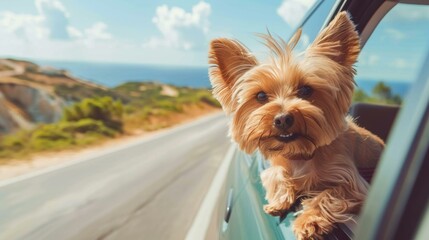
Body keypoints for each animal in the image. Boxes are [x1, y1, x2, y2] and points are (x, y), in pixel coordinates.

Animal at [207, 12, 384, 239]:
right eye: (261, 96)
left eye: (306, 90)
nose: (283, 119)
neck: (300, 153)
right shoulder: (278, 164)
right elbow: (276, 174)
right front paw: (280, 199)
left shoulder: (354, 184)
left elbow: (329, 193)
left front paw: (308, 221)